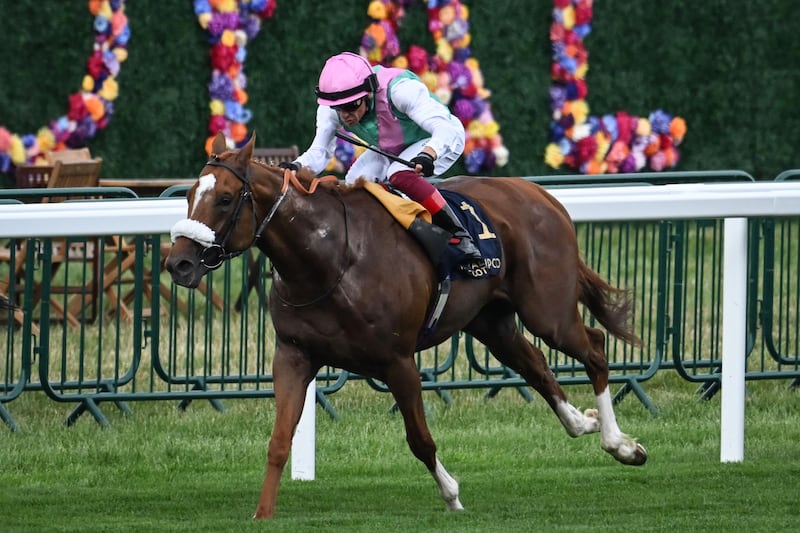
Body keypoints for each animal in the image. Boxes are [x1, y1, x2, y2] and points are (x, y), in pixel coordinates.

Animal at [166, 134, 648, 520]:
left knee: (594, 348)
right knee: (535, 364)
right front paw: (262, 514)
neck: (328, 260)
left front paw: (452, 495)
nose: (179, 264)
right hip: (491, 321)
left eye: (226, 198)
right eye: (188, 197)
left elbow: (420, 439)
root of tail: (540, 194)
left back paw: (619, 443)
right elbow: (279, 440)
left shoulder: (397, 361)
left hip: (547, 310)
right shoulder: (294, 354)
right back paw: (583, 422)